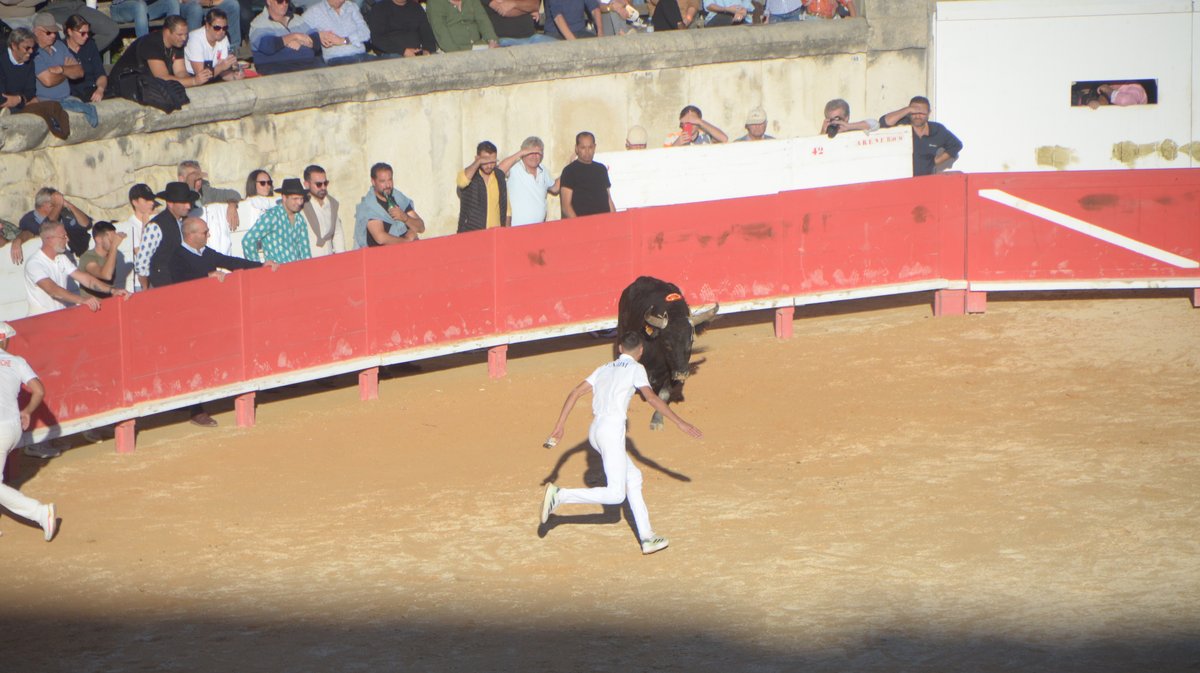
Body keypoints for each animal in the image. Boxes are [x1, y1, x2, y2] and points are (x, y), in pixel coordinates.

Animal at [619, 275, 710, 427]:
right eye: (667, 344)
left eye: (690, 342)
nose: (681, 374)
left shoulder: (670, 372)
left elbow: (664, 394)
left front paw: (657, 420)